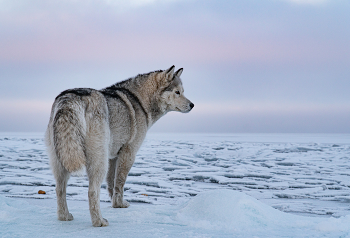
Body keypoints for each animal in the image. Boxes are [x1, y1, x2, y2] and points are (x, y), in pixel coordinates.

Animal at [44, 65, 194, 227]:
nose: (192, 105)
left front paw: (115, 204)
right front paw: (120, 204)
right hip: (98, 160)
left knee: (59, 189)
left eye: (183, 91)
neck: (140, 102)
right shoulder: (129, 152)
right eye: (177, 92)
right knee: (92, 191)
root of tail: (69, 99)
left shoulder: (113, 156)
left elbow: (112, 182)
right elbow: (120, 181)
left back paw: (64, 216)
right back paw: (99, 221)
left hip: (62, 159)